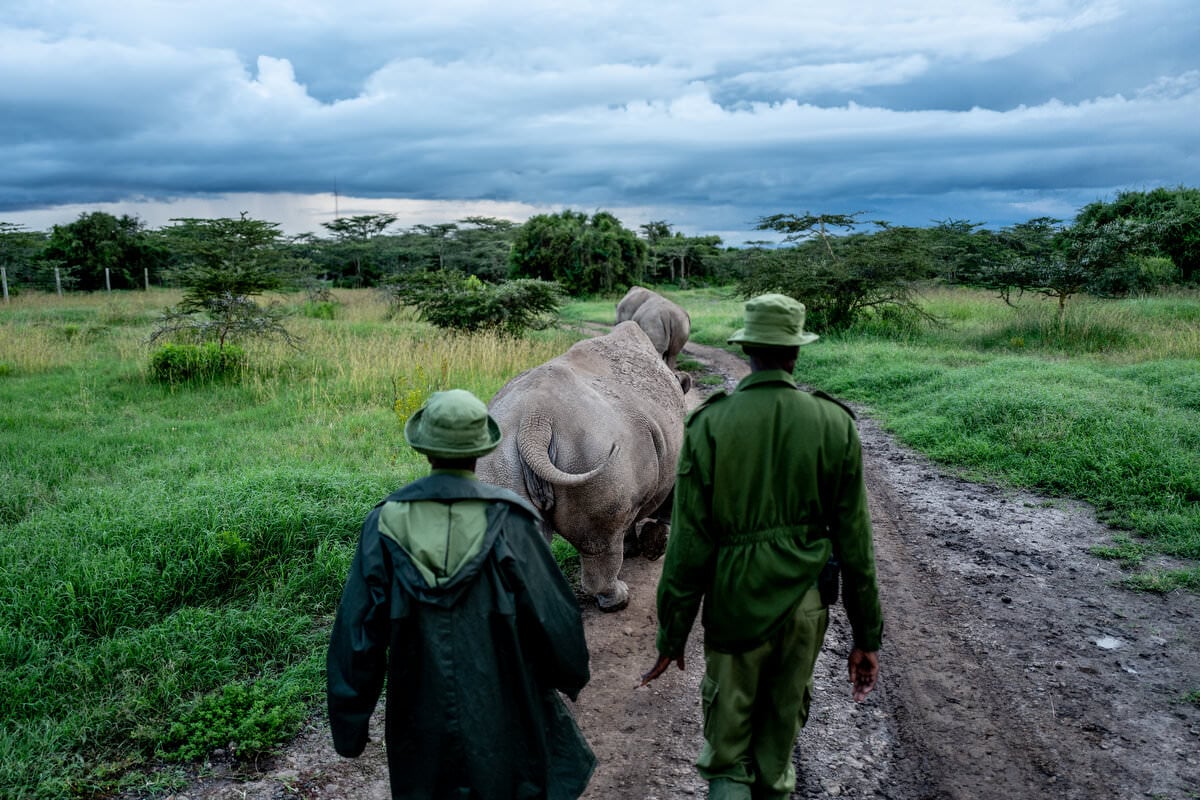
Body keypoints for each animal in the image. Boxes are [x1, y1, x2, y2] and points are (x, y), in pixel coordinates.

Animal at [475, 321, 686, 609]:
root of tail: (535, 420)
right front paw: (654, 548)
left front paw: (636, 548)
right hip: (594, 445)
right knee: (600, 543)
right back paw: (618, 600)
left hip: (498, 455)